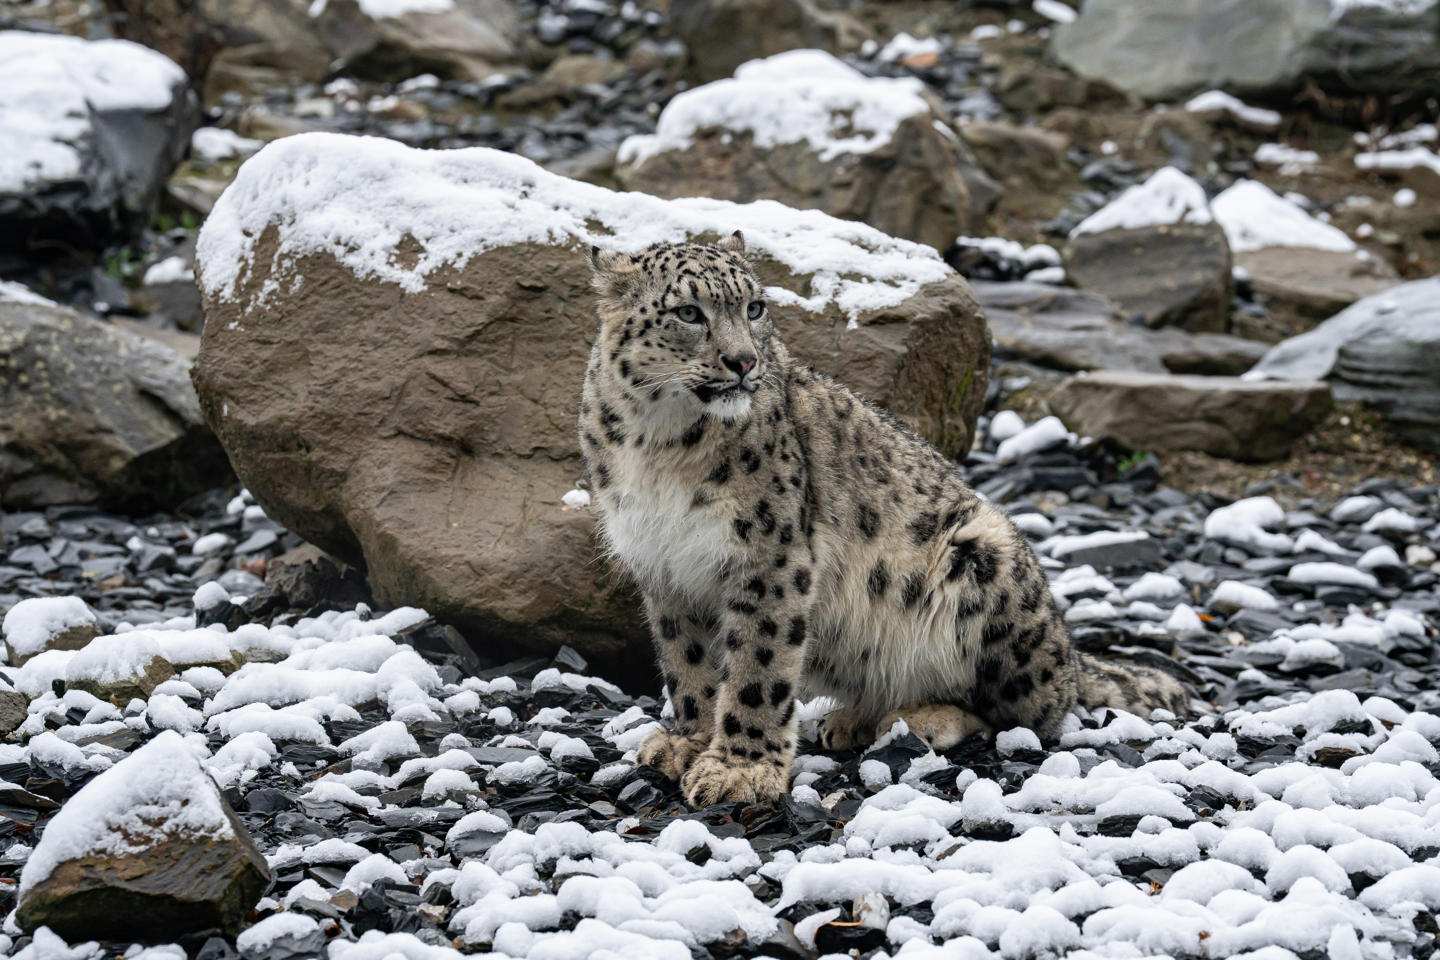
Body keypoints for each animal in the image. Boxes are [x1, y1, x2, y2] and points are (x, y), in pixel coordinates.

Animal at [577, 232, 1189, 808]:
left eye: (754, 307)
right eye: (688, 312)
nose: (744, 361)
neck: (660, 442)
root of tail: (1067, 652)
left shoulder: (769, 556)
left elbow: (758, 664)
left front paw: (739, 770)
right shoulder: (665, 565)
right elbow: (687, 661)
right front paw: (689, 741)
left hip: (985, 562)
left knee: (1027, 714)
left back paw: (917, 718)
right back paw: (854, 719)